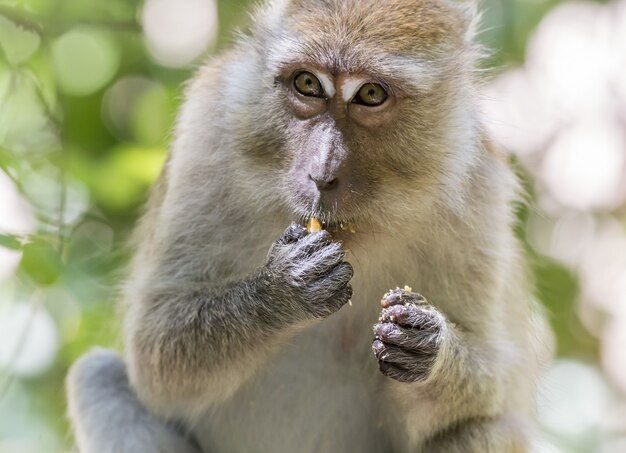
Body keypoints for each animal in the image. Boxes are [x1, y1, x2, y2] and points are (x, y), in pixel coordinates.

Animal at [64, 0, 552, 450]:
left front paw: (427, 345)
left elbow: (492, 383)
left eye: (370, 94)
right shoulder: (208, 130)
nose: (321, 172)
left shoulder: (478, 185)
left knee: (488, 428)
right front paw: (285, 288)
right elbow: (155, 355)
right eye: (307, 83)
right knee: (97, 377)